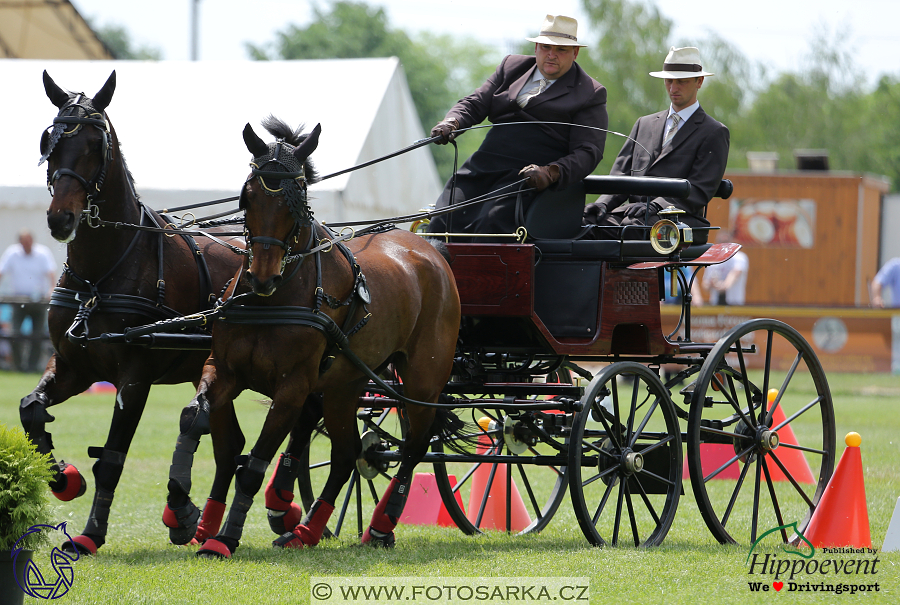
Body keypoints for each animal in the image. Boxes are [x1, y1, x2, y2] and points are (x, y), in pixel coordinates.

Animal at [22, 69, 243, 552]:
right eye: (49, 142)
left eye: (95, 144)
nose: (60, 219)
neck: (101, 274)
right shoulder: (74, 364)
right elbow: (30, 409)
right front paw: (63, 478)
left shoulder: (135, 375)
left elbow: (111, 458)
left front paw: (90, 533)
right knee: (229, 445)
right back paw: (200, 523)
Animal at [165, 118, 464, 556]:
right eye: (247, 197)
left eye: (295, 201)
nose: (262, 277)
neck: (275, 298)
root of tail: (429, 249)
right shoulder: (224, 370)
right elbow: (192, 418)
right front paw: (181, 508)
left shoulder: (293, 387)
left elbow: (255, 463)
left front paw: (224, 537)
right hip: (345, 385)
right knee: (346, 454)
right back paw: (306, 530)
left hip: (423, 380)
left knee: (413, 447)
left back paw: (381, 524)